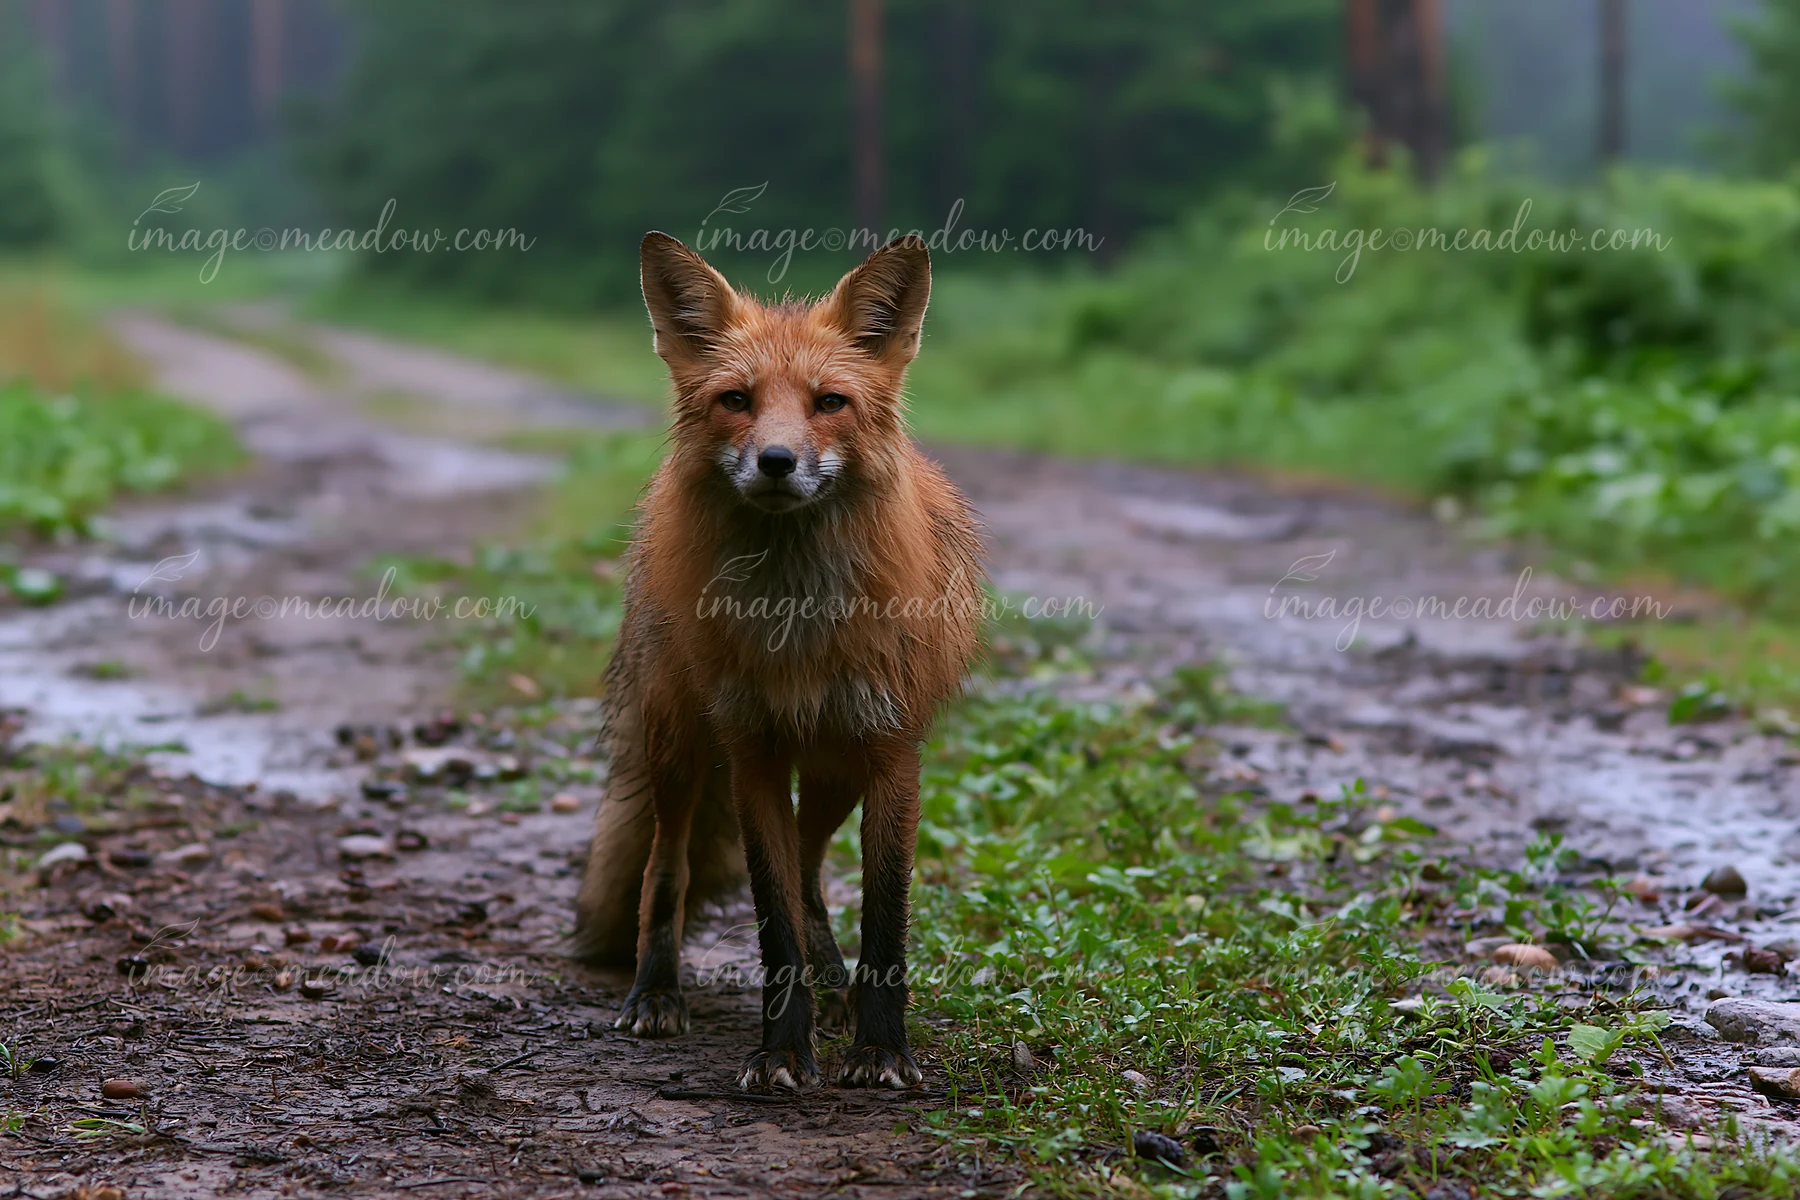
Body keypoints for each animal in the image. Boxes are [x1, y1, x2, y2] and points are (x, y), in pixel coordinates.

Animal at [571, 231, 985, 1091]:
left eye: (830, 402)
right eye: (737, 399)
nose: (776, 460)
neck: (797, 621)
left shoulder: (892, 752)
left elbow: (882, 914)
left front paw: (879, 1046)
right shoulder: (751, 751)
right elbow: (772, 920)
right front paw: (783, 1050)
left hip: (833, 767)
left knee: (810, 867)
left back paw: (836, 988)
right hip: (681, 747)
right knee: (669, 867)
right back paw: (656, 990)